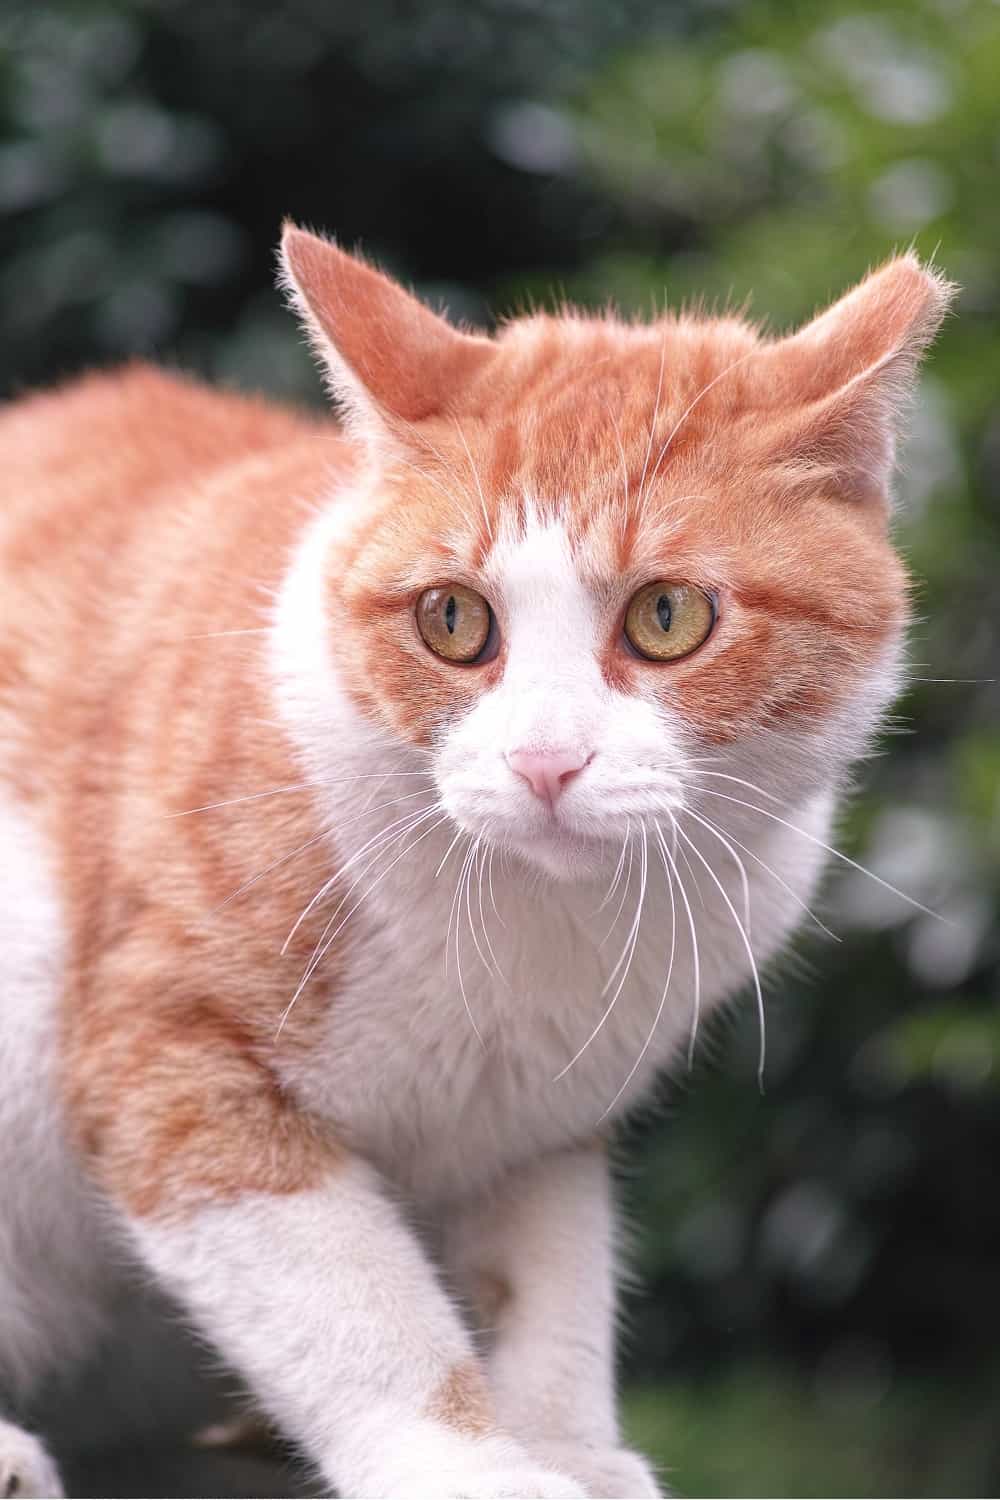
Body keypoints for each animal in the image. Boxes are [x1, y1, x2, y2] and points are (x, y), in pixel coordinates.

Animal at [0, 225, 953, 1500]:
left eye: (666, 617)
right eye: (452, 620)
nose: (546, 760)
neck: (527, 932)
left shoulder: (540, 1124)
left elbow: (549, 1289)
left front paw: (564, 1444)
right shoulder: (171, 1066)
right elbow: (360, 1307)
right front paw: (469, 1468)